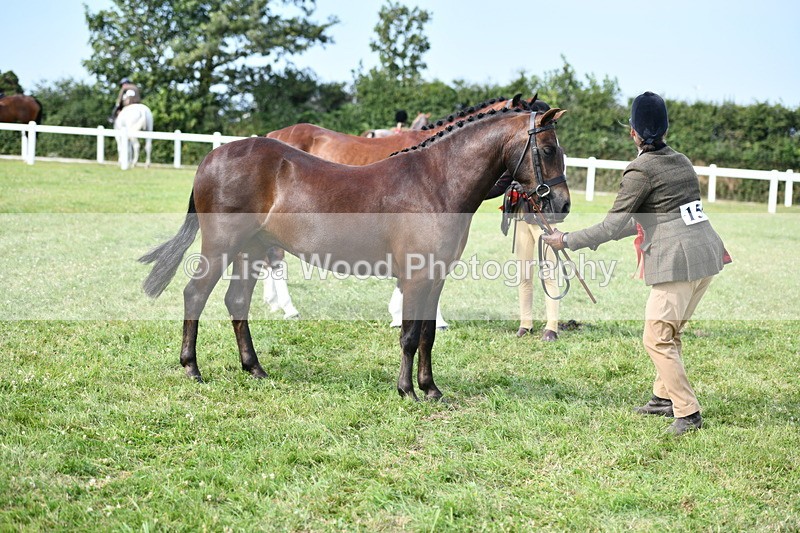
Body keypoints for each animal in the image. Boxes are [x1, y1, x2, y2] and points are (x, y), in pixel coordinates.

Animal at [139, 105, 570, 400]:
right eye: (548, 149)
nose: (563, 204)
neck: (437, 183)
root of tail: (212, 157)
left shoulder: (435, 279)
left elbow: (428, 334)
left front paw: (431, 389)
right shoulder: (416, 277)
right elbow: (409, 335)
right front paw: (407, 390)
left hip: (252, 249)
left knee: (237, 301)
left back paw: (254, 368)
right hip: (221, 246)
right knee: (196, 295)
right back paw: (192, 368)